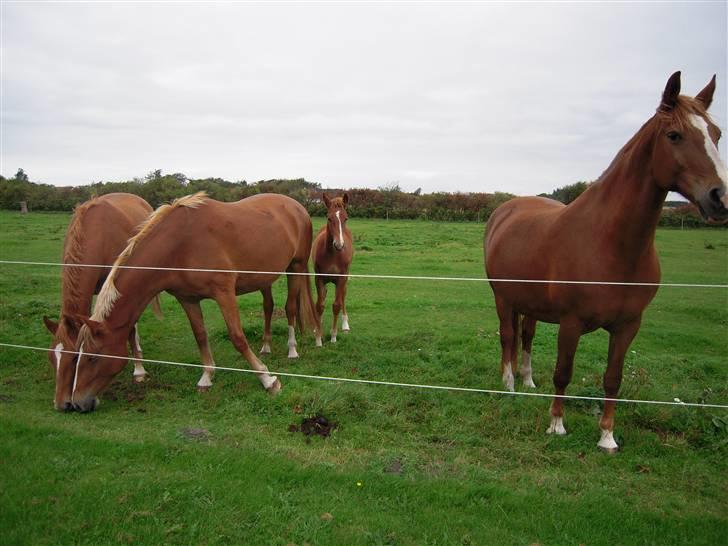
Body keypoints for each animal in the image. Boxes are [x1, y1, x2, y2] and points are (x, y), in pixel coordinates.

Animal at [42, 193, 159, 410]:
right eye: (52, 358)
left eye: (74, 357)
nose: (61, 404)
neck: (96, 234)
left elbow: (128, 328)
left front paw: (139, 371)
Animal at [67, 191, 320, 408]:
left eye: (93, 357)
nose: (77, 403)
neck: (180, 244)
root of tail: (297, 206)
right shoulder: (187, 299)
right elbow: (200, 335)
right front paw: (207, 377)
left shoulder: (224, 292)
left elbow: (238, 338)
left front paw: (268, 380)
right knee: (270, 307)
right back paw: (266, 347)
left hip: (296, 267)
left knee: (290, 308)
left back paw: (292, 350)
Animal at [312, 193, 356, 342]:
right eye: (329, 218)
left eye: (345, 218)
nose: (339, 244)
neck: (332, 255)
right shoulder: (319, 278)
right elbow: (319, 305)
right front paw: (318, 334)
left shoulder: (341, 278)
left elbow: (336, 305)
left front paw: (333, 336)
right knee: (323, 295)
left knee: (343, 296)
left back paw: (345, 325)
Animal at [484, 72, 728, 450]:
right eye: (674, 135)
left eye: (716, 134)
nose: (720, 197)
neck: (612, 245)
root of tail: (506, 209)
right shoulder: (571, 322)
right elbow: (563, 372)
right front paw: (556, 424)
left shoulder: (629, 325)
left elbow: (613, 378)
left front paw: (607, 436)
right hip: (503, 297)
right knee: (508, 336)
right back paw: (509, 384)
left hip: (530, 303)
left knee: (526, 337)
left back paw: (527, 381)